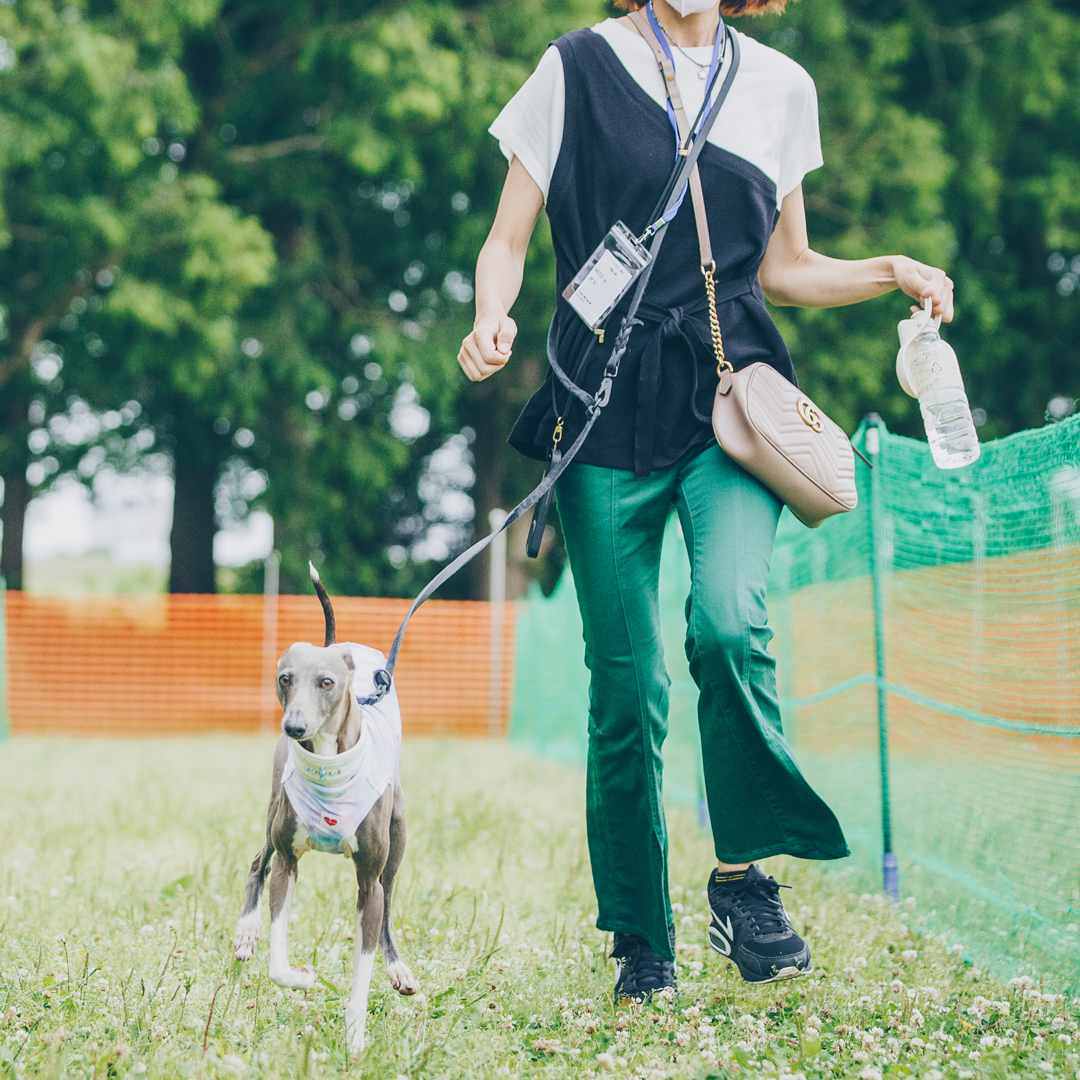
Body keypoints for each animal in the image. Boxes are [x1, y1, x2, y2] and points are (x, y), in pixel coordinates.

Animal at [233, 565, 416, 1054]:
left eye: (326, 683)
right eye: (285, 678)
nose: (294, 727)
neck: (331, 766)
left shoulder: (368, 883)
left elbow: (362, 972)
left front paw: (354, 1039)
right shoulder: (288, 863)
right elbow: (278, 964)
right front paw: (304, 976)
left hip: (397, 838)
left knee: (390, 899)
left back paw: (397, 968)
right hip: (273, 813)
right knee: (257, 860)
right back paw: (246, 931)